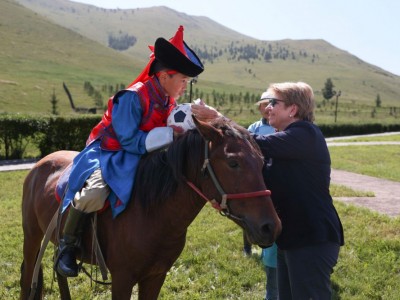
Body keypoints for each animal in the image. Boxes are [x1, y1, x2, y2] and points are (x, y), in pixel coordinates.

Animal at [19, 117, 282, 300]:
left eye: (262, 161)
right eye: (233, 162)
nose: (270, 227)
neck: (153, 213)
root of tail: (41, 164)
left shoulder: (156, 276)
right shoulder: (122, 278)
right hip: (32, 237)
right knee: (26, 277)